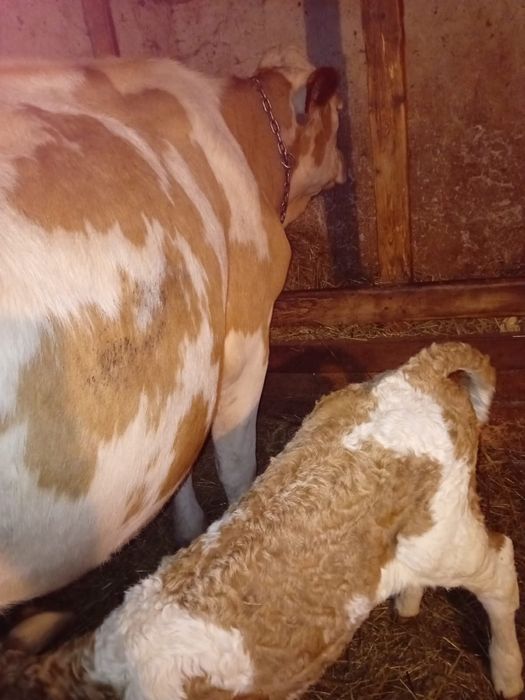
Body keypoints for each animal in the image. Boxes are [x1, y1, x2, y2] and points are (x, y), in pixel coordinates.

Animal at [0, 46, 345, 639]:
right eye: (339, 117)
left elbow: (181, 468)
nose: (346, 166)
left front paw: (186, 528)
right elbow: (234, 465)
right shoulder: (242, 341)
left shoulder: (186, 379)